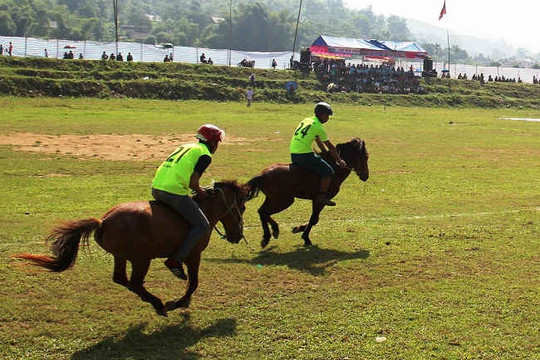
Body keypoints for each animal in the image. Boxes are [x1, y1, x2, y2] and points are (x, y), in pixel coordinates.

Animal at [13, 181, 249, 316]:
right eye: (243, 206)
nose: (237, 235)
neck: (204, 210)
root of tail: (103, 221)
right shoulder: (194, 254)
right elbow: (193, 283)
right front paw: (179, 301)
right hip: (141, 259)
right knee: (134, 283)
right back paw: (158, 304)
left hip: (121, 257)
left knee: (121, 279)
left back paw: (150, 300)